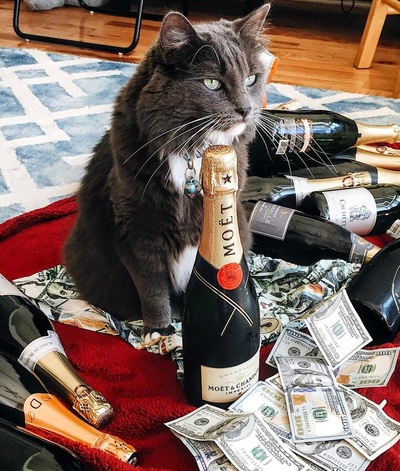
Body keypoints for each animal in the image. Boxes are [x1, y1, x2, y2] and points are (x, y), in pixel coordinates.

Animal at [63, 4, 271, 342]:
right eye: (212, 83)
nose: (245, 110)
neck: (190, 152)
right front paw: (158, 330)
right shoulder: (137, 233)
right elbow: (152, 289)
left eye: (252, 78)